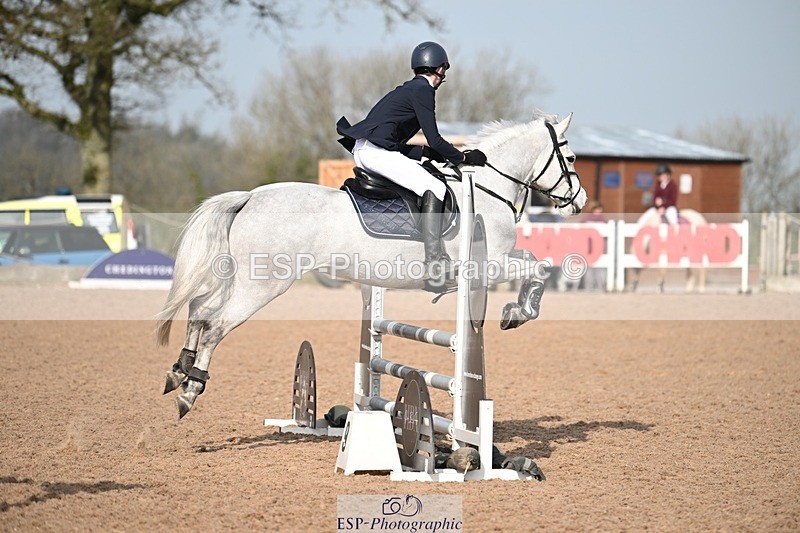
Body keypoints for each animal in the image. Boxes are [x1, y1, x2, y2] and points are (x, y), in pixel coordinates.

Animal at [156, 110, 588, 418]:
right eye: (569, 157)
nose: (580, 202)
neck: (485, 188)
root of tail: (249, 197)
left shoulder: (500, 261)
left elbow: (533, 262)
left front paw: (516, 310)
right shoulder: (486, 267)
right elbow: (539, 267)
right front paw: (520, 311)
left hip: (243, 279)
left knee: (199, 309)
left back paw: (177, 372)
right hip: (262, 284)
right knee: (214, 326)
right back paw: (190, 391)